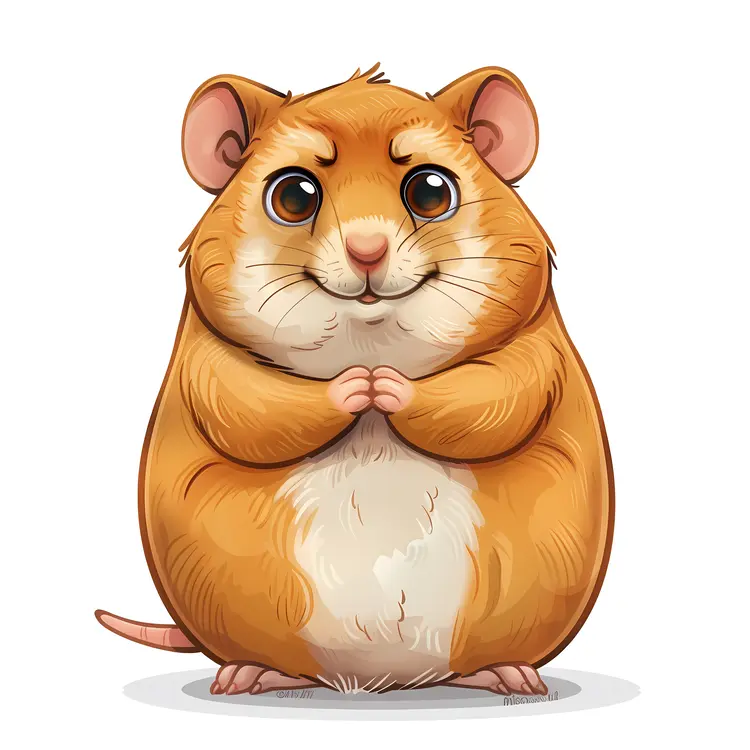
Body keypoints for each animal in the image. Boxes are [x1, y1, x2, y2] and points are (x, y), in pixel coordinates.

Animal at [96, 64, 614, 697]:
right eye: (293, 196)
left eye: (431, 192)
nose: (367, 252)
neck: (368, 342)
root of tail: (379, 681)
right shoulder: (209, 360)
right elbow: (251, 407)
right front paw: (355, 388)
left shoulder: (534, 350)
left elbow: (495, 396)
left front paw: (384, 386)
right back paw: (249, 673)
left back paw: (509, 674)